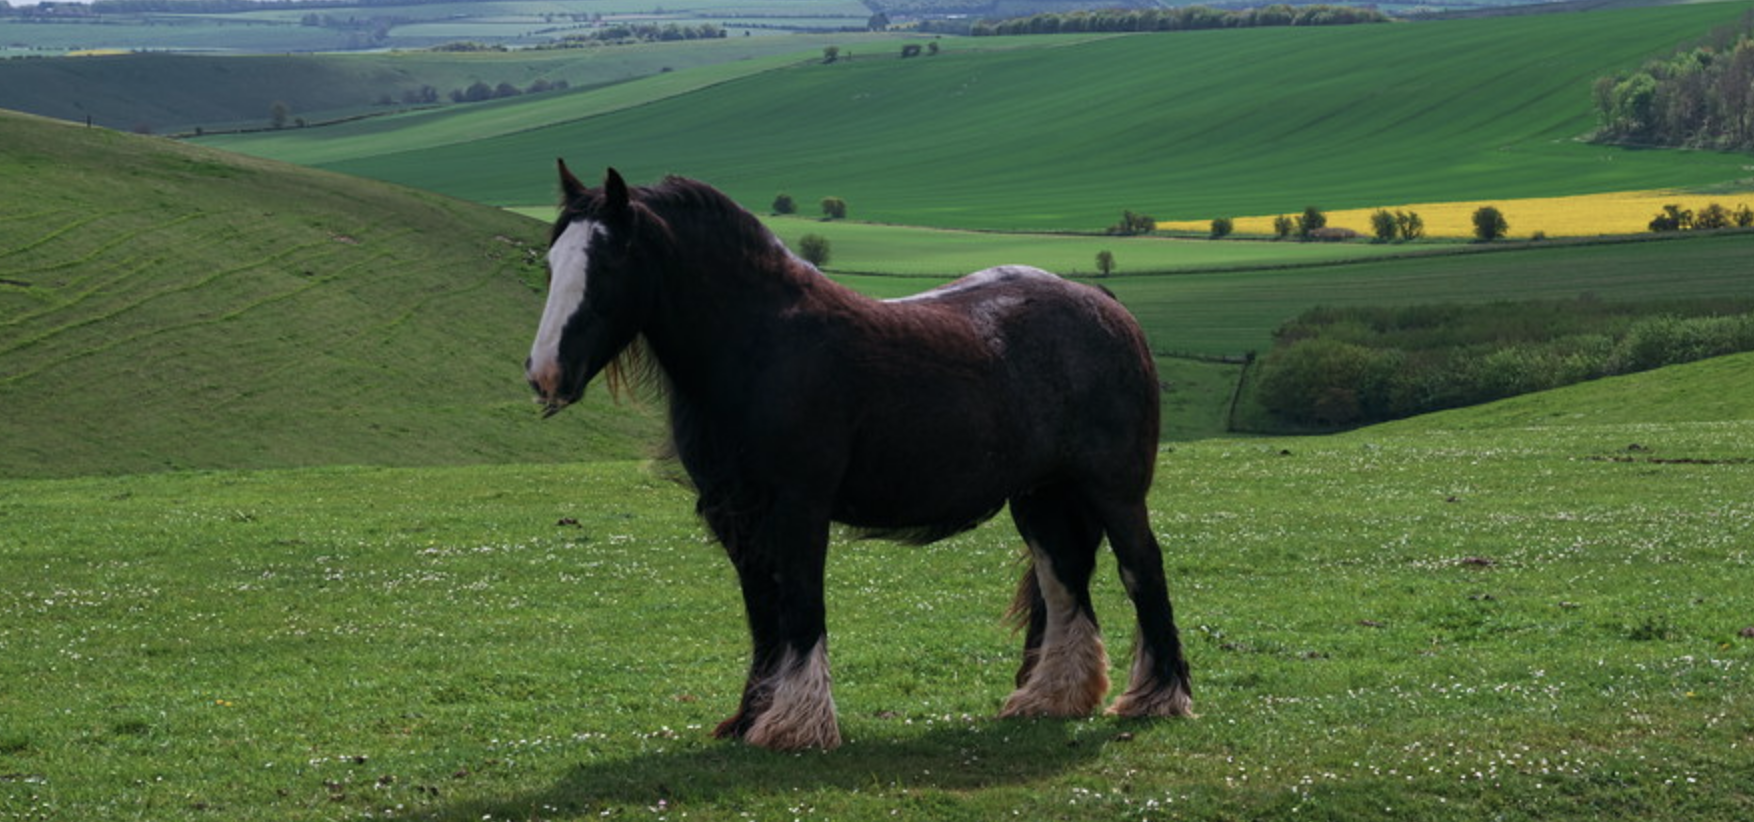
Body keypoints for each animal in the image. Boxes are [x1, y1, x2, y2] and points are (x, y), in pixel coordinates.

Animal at [526, 162, 1199, 746]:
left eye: (610, 260)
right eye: (553, 259)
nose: (544, 373)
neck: (760, 346)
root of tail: (1104, 302)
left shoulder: (798, 506)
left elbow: (801, 603)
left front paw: (796, 726)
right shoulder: (734, 514)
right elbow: (763, 612)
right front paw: (750, 716)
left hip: (1114, 488)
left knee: (1142, 568)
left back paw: (1159, 697)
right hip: (1041, 497)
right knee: (1064, 580)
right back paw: (1052, 698)